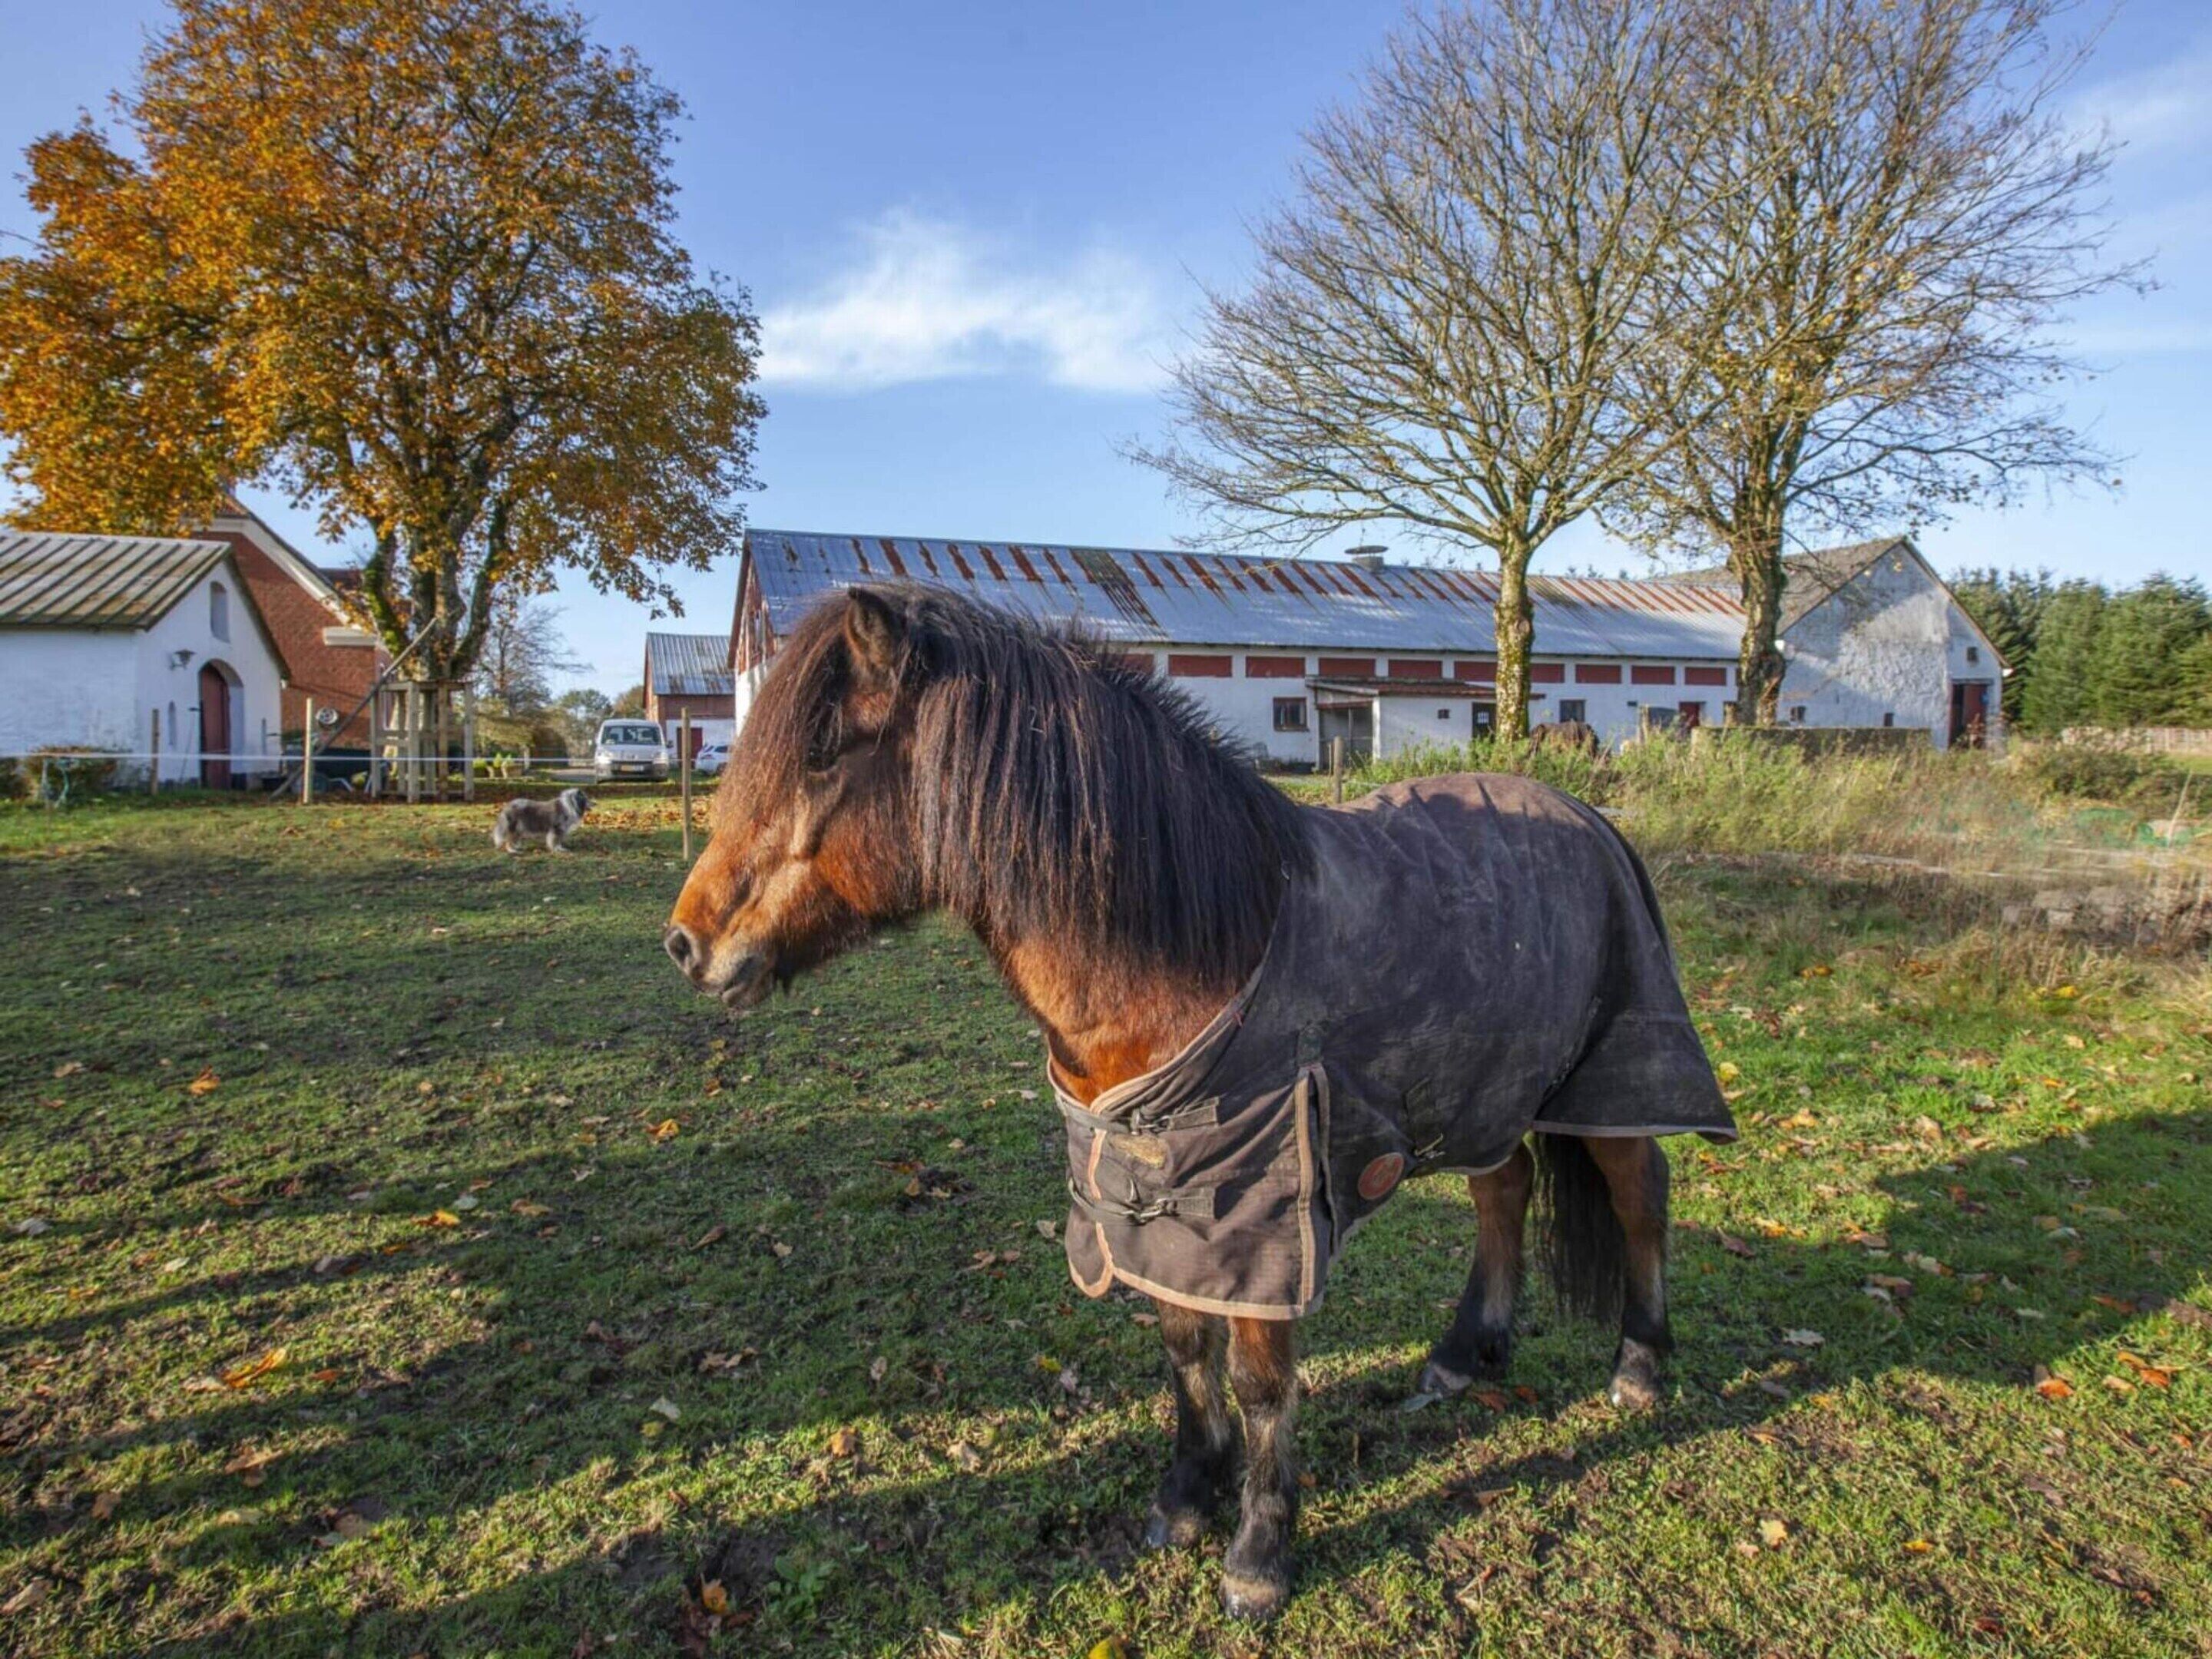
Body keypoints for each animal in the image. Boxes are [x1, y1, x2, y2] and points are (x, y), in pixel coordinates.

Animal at [663, 585, 1734, 1621]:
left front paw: (1259, 1552)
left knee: (1641, 1194)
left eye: (818, 753)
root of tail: (1591, 818)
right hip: (1482, 1096)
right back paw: (1465, 1356)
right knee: (1503, 1196)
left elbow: (1261, 1381)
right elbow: (1183, 1346)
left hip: (1611, 1076)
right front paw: (1187, 1491)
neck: (1194, 940)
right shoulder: (1155, 1195)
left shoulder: (1265, 1212)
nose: (687, 943)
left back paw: (1639, 1366)